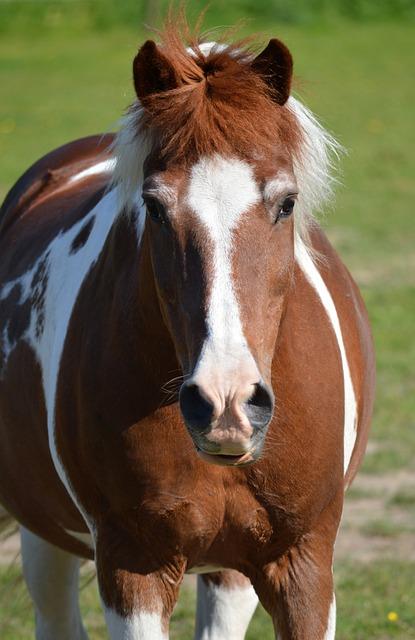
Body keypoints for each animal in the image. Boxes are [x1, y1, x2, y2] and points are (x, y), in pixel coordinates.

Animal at [0, 21, 376, 640]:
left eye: (286, 202)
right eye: (154, 207)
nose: (225, 404)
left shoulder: (303, 565)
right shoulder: (134, 568)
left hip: (230, 569)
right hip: (44, 532)